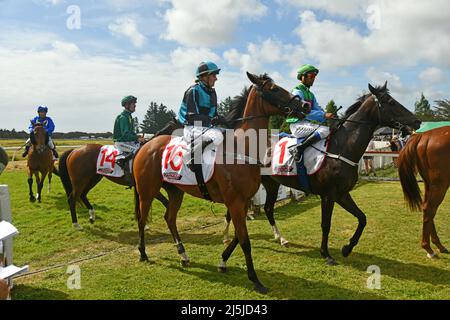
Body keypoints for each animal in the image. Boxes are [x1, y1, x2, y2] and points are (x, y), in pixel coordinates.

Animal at [133, 72, 306, 292]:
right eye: (274, 89)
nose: (305, 105)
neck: (242, 149)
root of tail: (146, 145)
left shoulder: (241, 202)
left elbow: (238, 236)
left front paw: (223, 261)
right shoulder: (235, 202)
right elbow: (245, 241)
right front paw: (255, 280)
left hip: (175, 191)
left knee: (169, 218)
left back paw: (183, 255)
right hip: (147, 192)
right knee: (141, 219)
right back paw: (143, 253)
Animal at [227, 82, 424, 264]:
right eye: (391, 102)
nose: (417, 121)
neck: (342, 148)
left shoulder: (342, 194)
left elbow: (362, 218)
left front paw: (347, 248)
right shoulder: (328, 195)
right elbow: (326, 224)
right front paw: (326, 254)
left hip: (272, 183)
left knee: (268, 209)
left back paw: (281, 238)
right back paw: (228, 237)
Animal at [400, 126, 448, 258]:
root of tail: (424, 136)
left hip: (429, 184)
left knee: (428, 209)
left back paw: (438, 245)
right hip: (440, 184)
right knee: (429, 209)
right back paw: (429, 249)